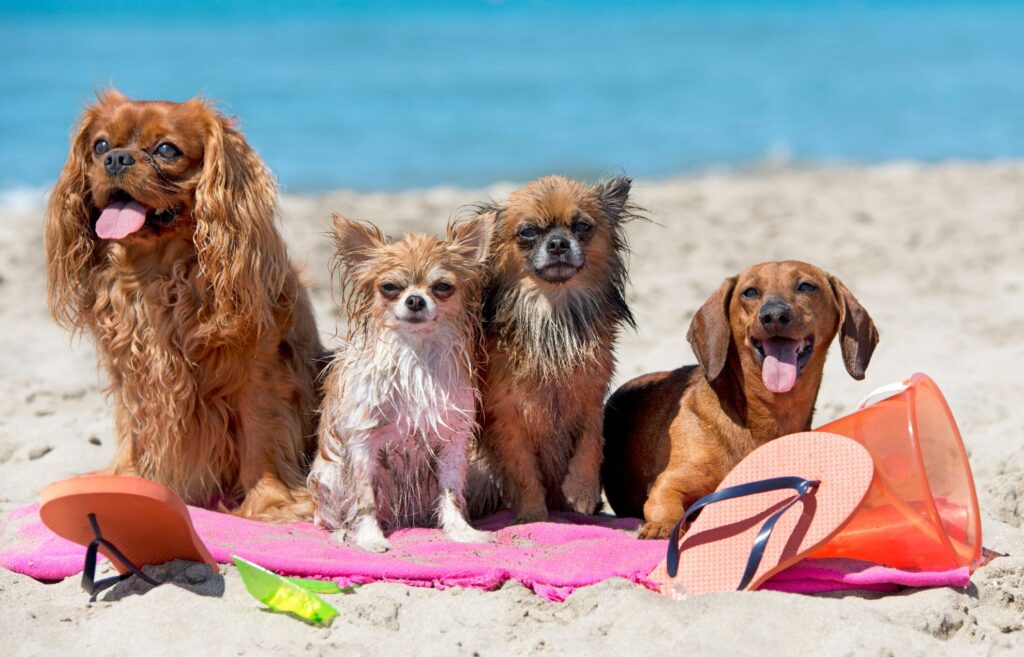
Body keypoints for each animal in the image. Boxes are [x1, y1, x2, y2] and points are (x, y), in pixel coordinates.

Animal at [307, 215, 491, 552]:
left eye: (442, 287)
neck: (415, 355)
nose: (416, 299)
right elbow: (364, 498)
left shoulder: (452, 441)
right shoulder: (363, 443)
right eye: (389, 287)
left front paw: (460, 531)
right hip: (328, 476)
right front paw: (368, 538)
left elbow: (451, 493)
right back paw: (344, 532)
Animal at [471, 174, 638, 521]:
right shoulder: (507, 416)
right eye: (528, 232)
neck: (553, 313)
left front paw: (582, 492)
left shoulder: (591, 396)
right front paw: (533, 516)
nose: (559, 243)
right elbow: (523, 470)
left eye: (582, 226)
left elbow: (591, 443)